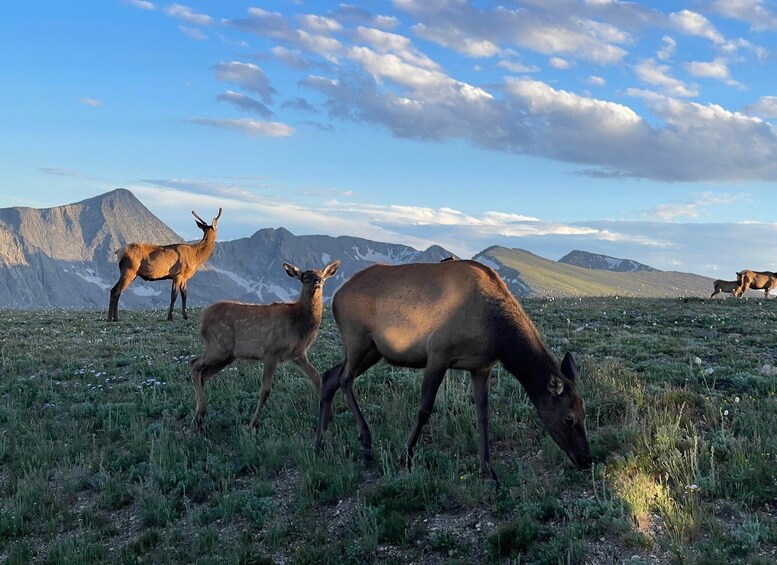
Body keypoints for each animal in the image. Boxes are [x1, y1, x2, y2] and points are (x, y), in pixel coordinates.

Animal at [191, 260, 341, 430]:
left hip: (226, 356)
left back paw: (199, 417)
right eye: (305, 277)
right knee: (194, 364)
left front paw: (330, 418)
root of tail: (203, 318)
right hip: (218, 346)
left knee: (203, 373)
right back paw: (200, 414)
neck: (299, 323)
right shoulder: (271, 351)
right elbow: (265, 390)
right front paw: (251, 424)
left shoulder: (298, 354)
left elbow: (317, 377)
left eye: (321, 274)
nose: (318, 280)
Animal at [315, 259, 592, 482]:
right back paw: (365, 441)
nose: (587, 460)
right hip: (356, 339)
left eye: (585, 412)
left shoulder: (481, 366)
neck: (497, 336)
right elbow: (424, 408)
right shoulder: (438, 354)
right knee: (345, 379)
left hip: (374, 350)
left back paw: (320, 441)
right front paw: (405, 457)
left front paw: (487, 469)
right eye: (569, 418)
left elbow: (483, 415)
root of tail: (336, 295)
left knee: (329, 377)